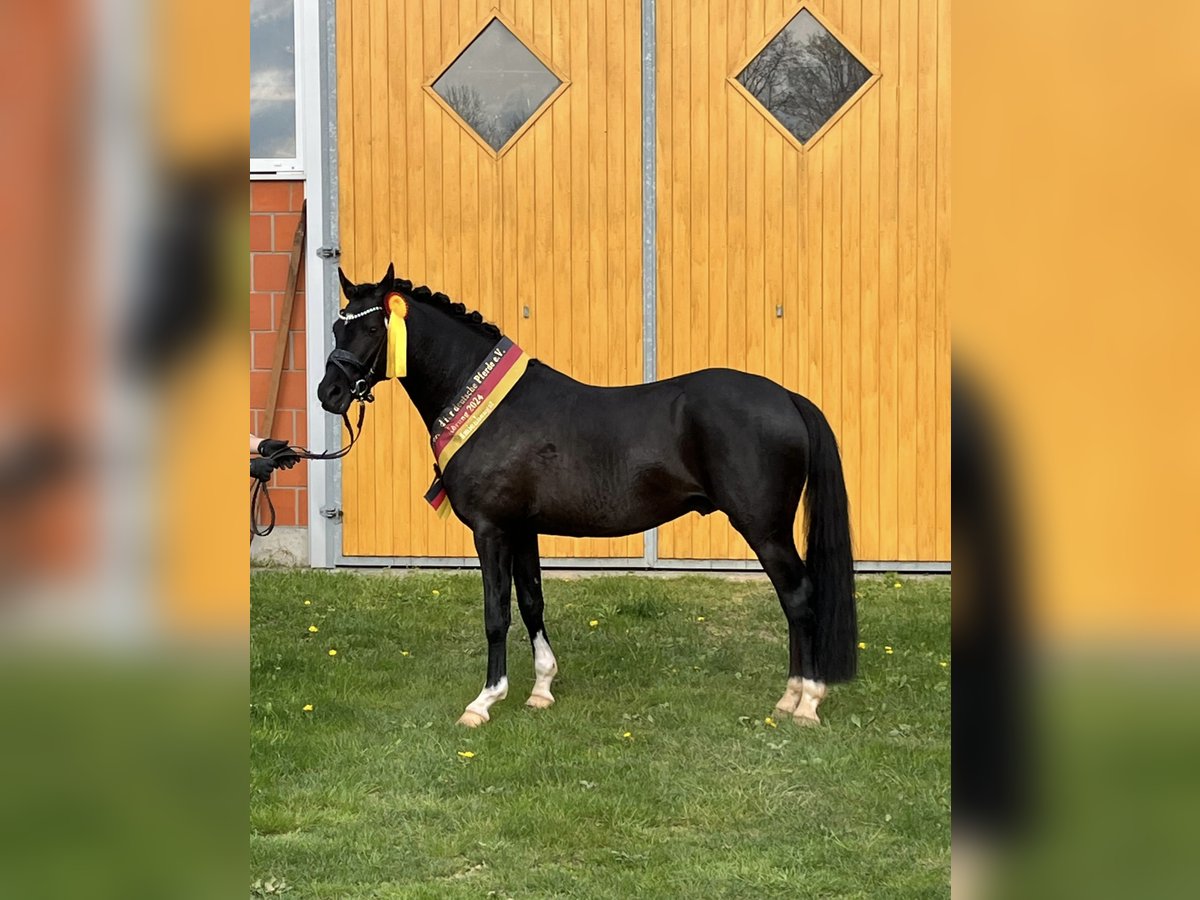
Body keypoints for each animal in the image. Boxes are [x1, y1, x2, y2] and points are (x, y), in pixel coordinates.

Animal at [319, 264, 859, 729]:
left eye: (372, 329)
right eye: (336, 328)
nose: (329, 393)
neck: (492, 410)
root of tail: (787, 397)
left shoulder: (492, 530)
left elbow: (496, 614)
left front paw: (484, 701)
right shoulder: (522, 530)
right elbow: (531, 602)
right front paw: (541, 689)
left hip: (765, 529)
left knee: (798, 597)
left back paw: (806, 701)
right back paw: (790, 697)